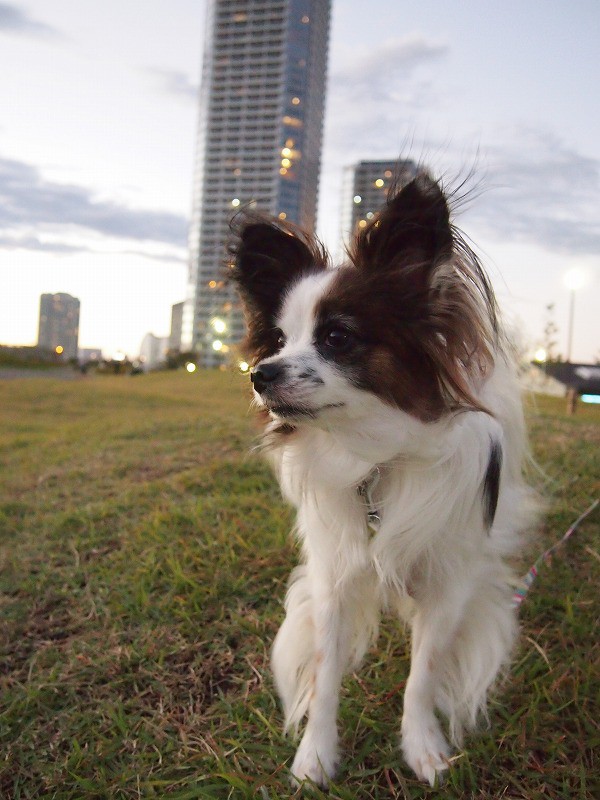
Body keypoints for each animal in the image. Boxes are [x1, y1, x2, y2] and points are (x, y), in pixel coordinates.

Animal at [232, 172, 536, 784]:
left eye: (337, 337)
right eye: (278, 341)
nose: (259, 375)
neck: (377, 456)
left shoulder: (449, 580)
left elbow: (424, 674)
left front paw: (423, 748)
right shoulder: (335, 574)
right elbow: (325, 672)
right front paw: (316, 755)